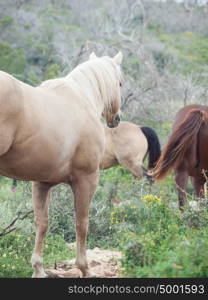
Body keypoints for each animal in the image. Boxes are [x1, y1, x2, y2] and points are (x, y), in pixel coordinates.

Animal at [0, 51, 122, 276]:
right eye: (120, 82)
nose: (116, 119)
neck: (83, 100)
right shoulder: (87, 180)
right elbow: (82, 223)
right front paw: (84, 268)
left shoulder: (41, 184)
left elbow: (42, 223)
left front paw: (38, 269)